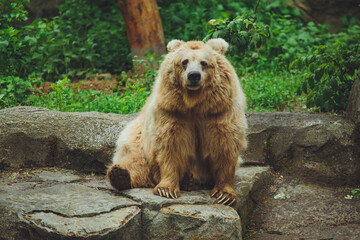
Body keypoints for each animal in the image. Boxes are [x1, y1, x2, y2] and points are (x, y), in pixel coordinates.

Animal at [107, 38, 248, 205]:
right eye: (184, 61)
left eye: (204, 62)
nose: (194, 76)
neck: (195, 105)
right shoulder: (172, 113)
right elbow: (171, 147)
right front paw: (167, 189)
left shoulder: (220, 112)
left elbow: (225, 147)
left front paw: (224, 194)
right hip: (137, 137)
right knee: (135, 160)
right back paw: (120, 175)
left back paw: (189, 180)